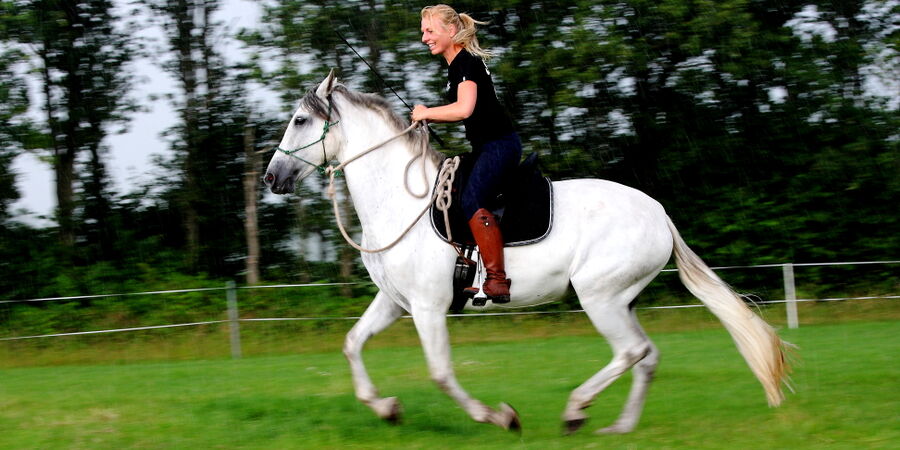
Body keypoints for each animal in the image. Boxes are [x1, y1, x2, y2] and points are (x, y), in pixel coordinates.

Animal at [262, 72, 788, 434]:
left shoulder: (429, 308)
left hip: (599, 297)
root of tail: (658, 213)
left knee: (632, 351)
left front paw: (500, 417)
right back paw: (618, 427)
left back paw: (576, 411)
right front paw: (386, 408)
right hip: (623, 299)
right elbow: (352, 344)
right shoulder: (395, 303)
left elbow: (441, 373)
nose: (271, 177)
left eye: (300, 120)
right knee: (648, 356)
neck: (400, 202)